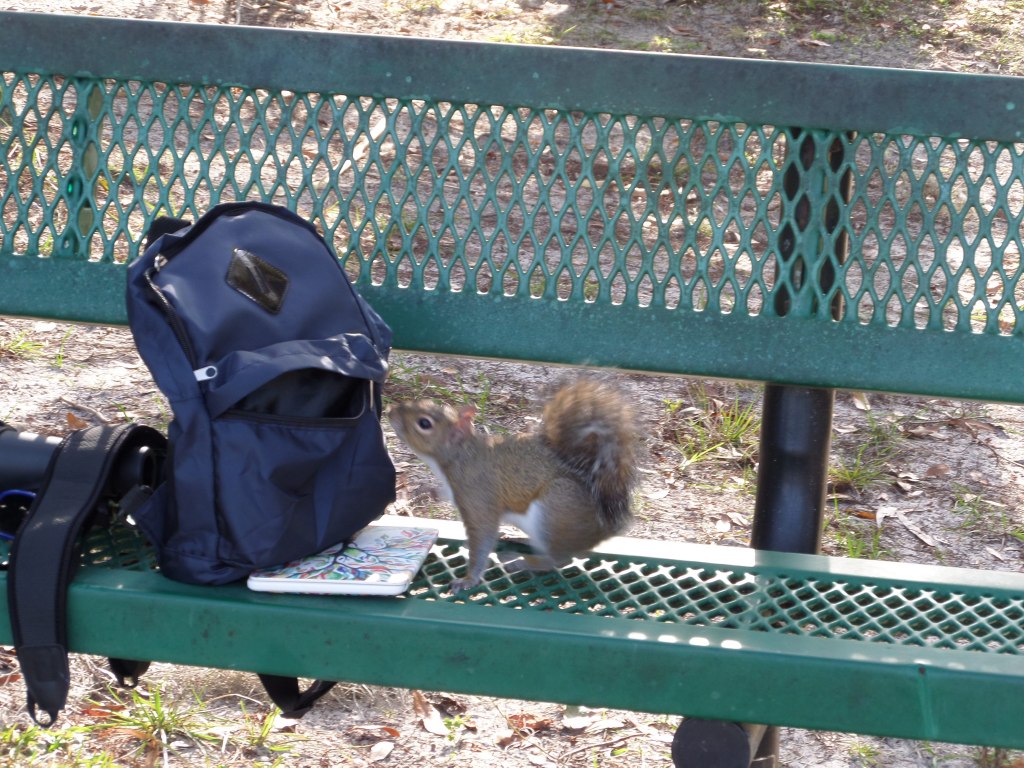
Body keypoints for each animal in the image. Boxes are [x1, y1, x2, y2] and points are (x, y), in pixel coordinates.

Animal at [387, 379, 637, 593]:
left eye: (424, 423)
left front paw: (468, 579)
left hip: (556, 507)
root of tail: (605, 527)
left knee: (557, 559)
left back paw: (522, 562)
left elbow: (483, 537)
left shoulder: (478, 495)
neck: (460, 457)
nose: (390, 412)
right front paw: (424, 491)